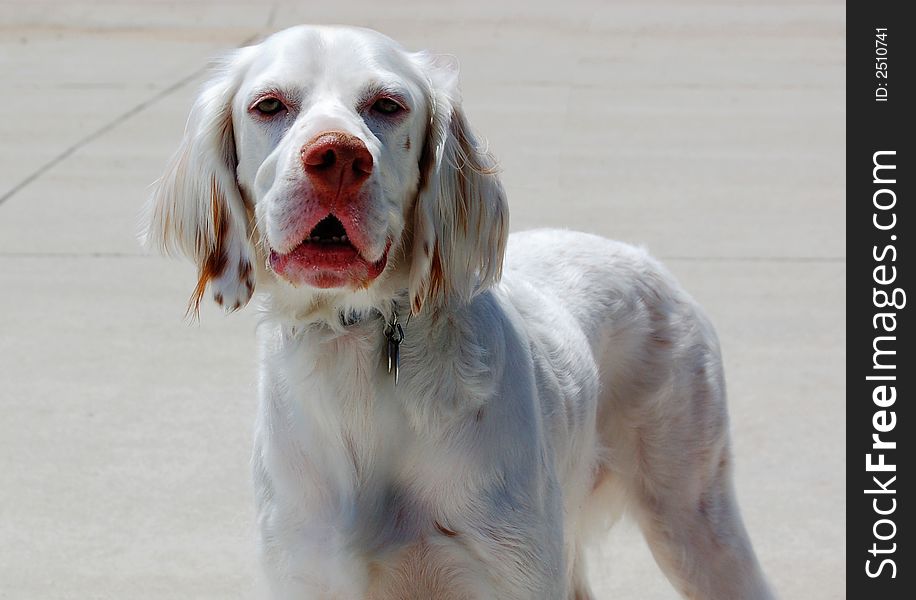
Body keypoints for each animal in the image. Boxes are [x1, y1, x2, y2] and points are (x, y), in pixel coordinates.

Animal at [143, 24, 772, 600]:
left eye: (388, 105)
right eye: (269, 105)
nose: (338, 157)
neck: (359, 357)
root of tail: (648, 261)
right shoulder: (307, 569)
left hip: (694, 521)